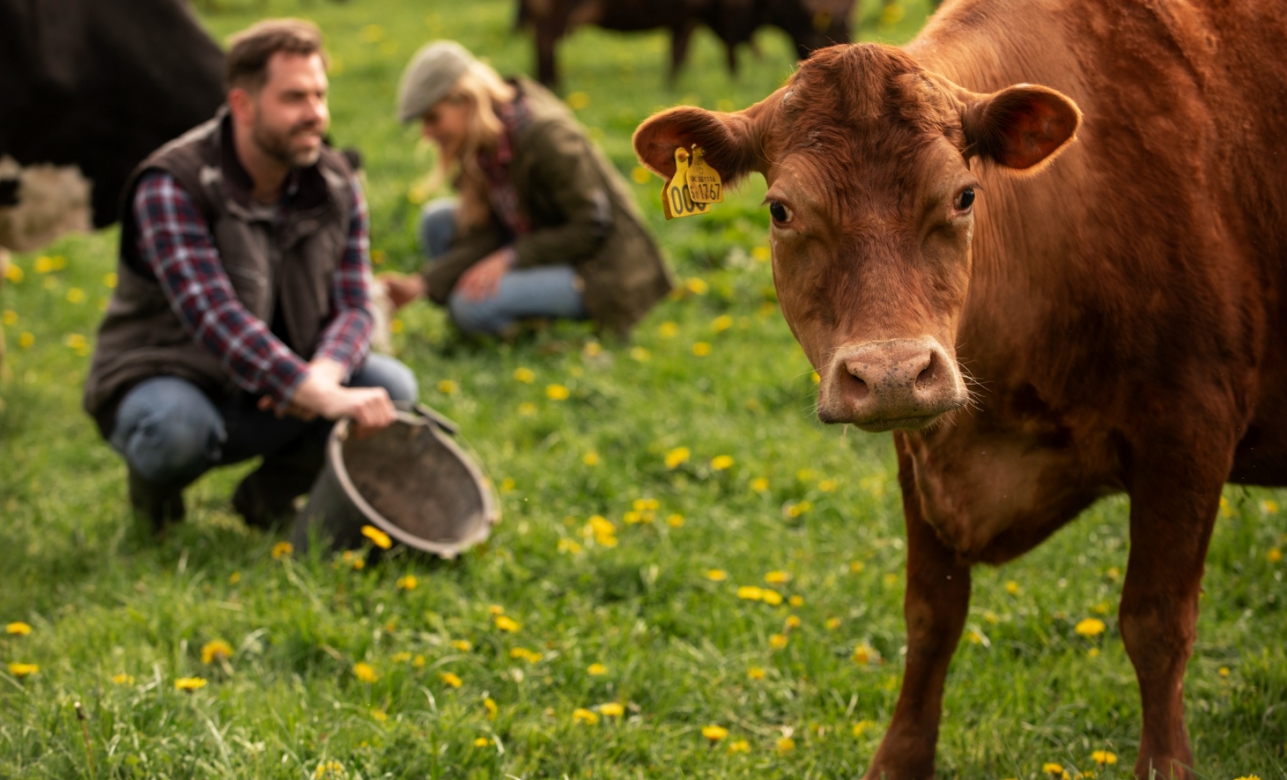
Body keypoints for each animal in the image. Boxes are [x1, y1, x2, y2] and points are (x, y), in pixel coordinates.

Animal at [635, 0, 1287, 777]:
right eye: (780, 210)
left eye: (964, 195)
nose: (890, 372)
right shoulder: (920, 453)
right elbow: (930, 616)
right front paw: (898, 761)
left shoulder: (1188, 433)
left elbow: (1155, 625)